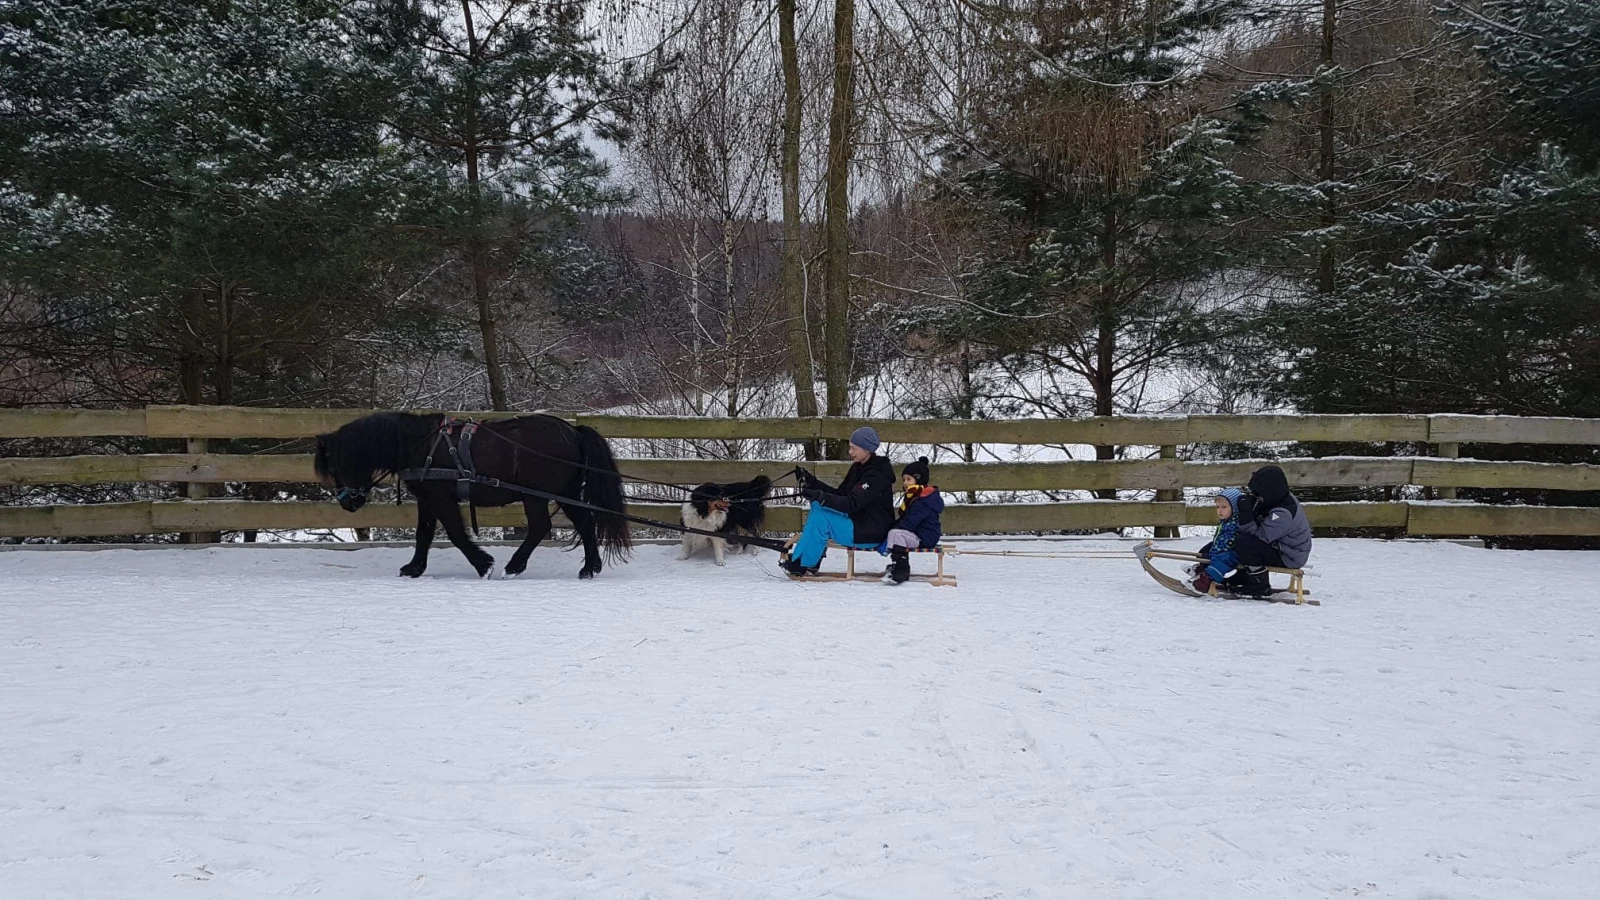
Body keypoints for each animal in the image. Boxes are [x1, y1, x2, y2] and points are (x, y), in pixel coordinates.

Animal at [312, 413, 630, 576]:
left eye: (337, 466)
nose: (347, 502)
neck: (419, 444)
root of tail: (573, 431)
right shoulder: (427, 498)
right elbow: (423, 534)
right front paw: (414, 568)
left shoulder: (441, 498)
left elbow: (455, 533)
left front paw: (483, 564)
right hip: (565, 491)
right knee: (585, 524)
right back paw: (590, 567)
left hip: (537, 494)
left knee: (541, 526)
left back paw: (514, 566)